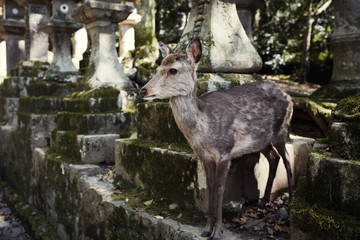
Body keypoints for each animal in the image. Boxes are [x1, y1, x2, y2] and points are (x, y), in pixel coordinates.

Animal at [139, 38, 294, 239]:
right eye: (158, 68)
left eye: (173, 70)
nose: (143, 90)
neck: (204, 131)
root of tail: (289, 96)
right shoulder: (205, 156)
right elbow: (210, 187)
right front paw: (206, 229)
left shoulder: (224, 152)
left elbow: (220, 189)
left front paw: (218, 231)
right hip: (261, 140)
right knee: (274, 158)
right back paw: (263, 201)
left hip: (282, 130)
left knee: (288, 160)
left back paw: (290, 204)